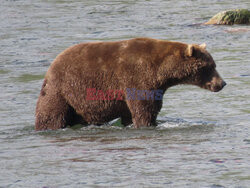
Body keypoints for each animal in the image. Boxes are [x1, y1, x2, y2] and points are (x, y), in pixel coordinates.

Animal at [35, 37, 227, 130]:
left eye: (214, 64)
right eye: (209, 66)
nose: (222, 83)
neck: (162, 71)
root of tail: (51, 66)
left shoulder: (154, 87)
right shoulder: (138, 78)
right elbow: (144, 108)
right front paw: (147, 124)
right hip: (62, 90)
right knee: (51, 114)